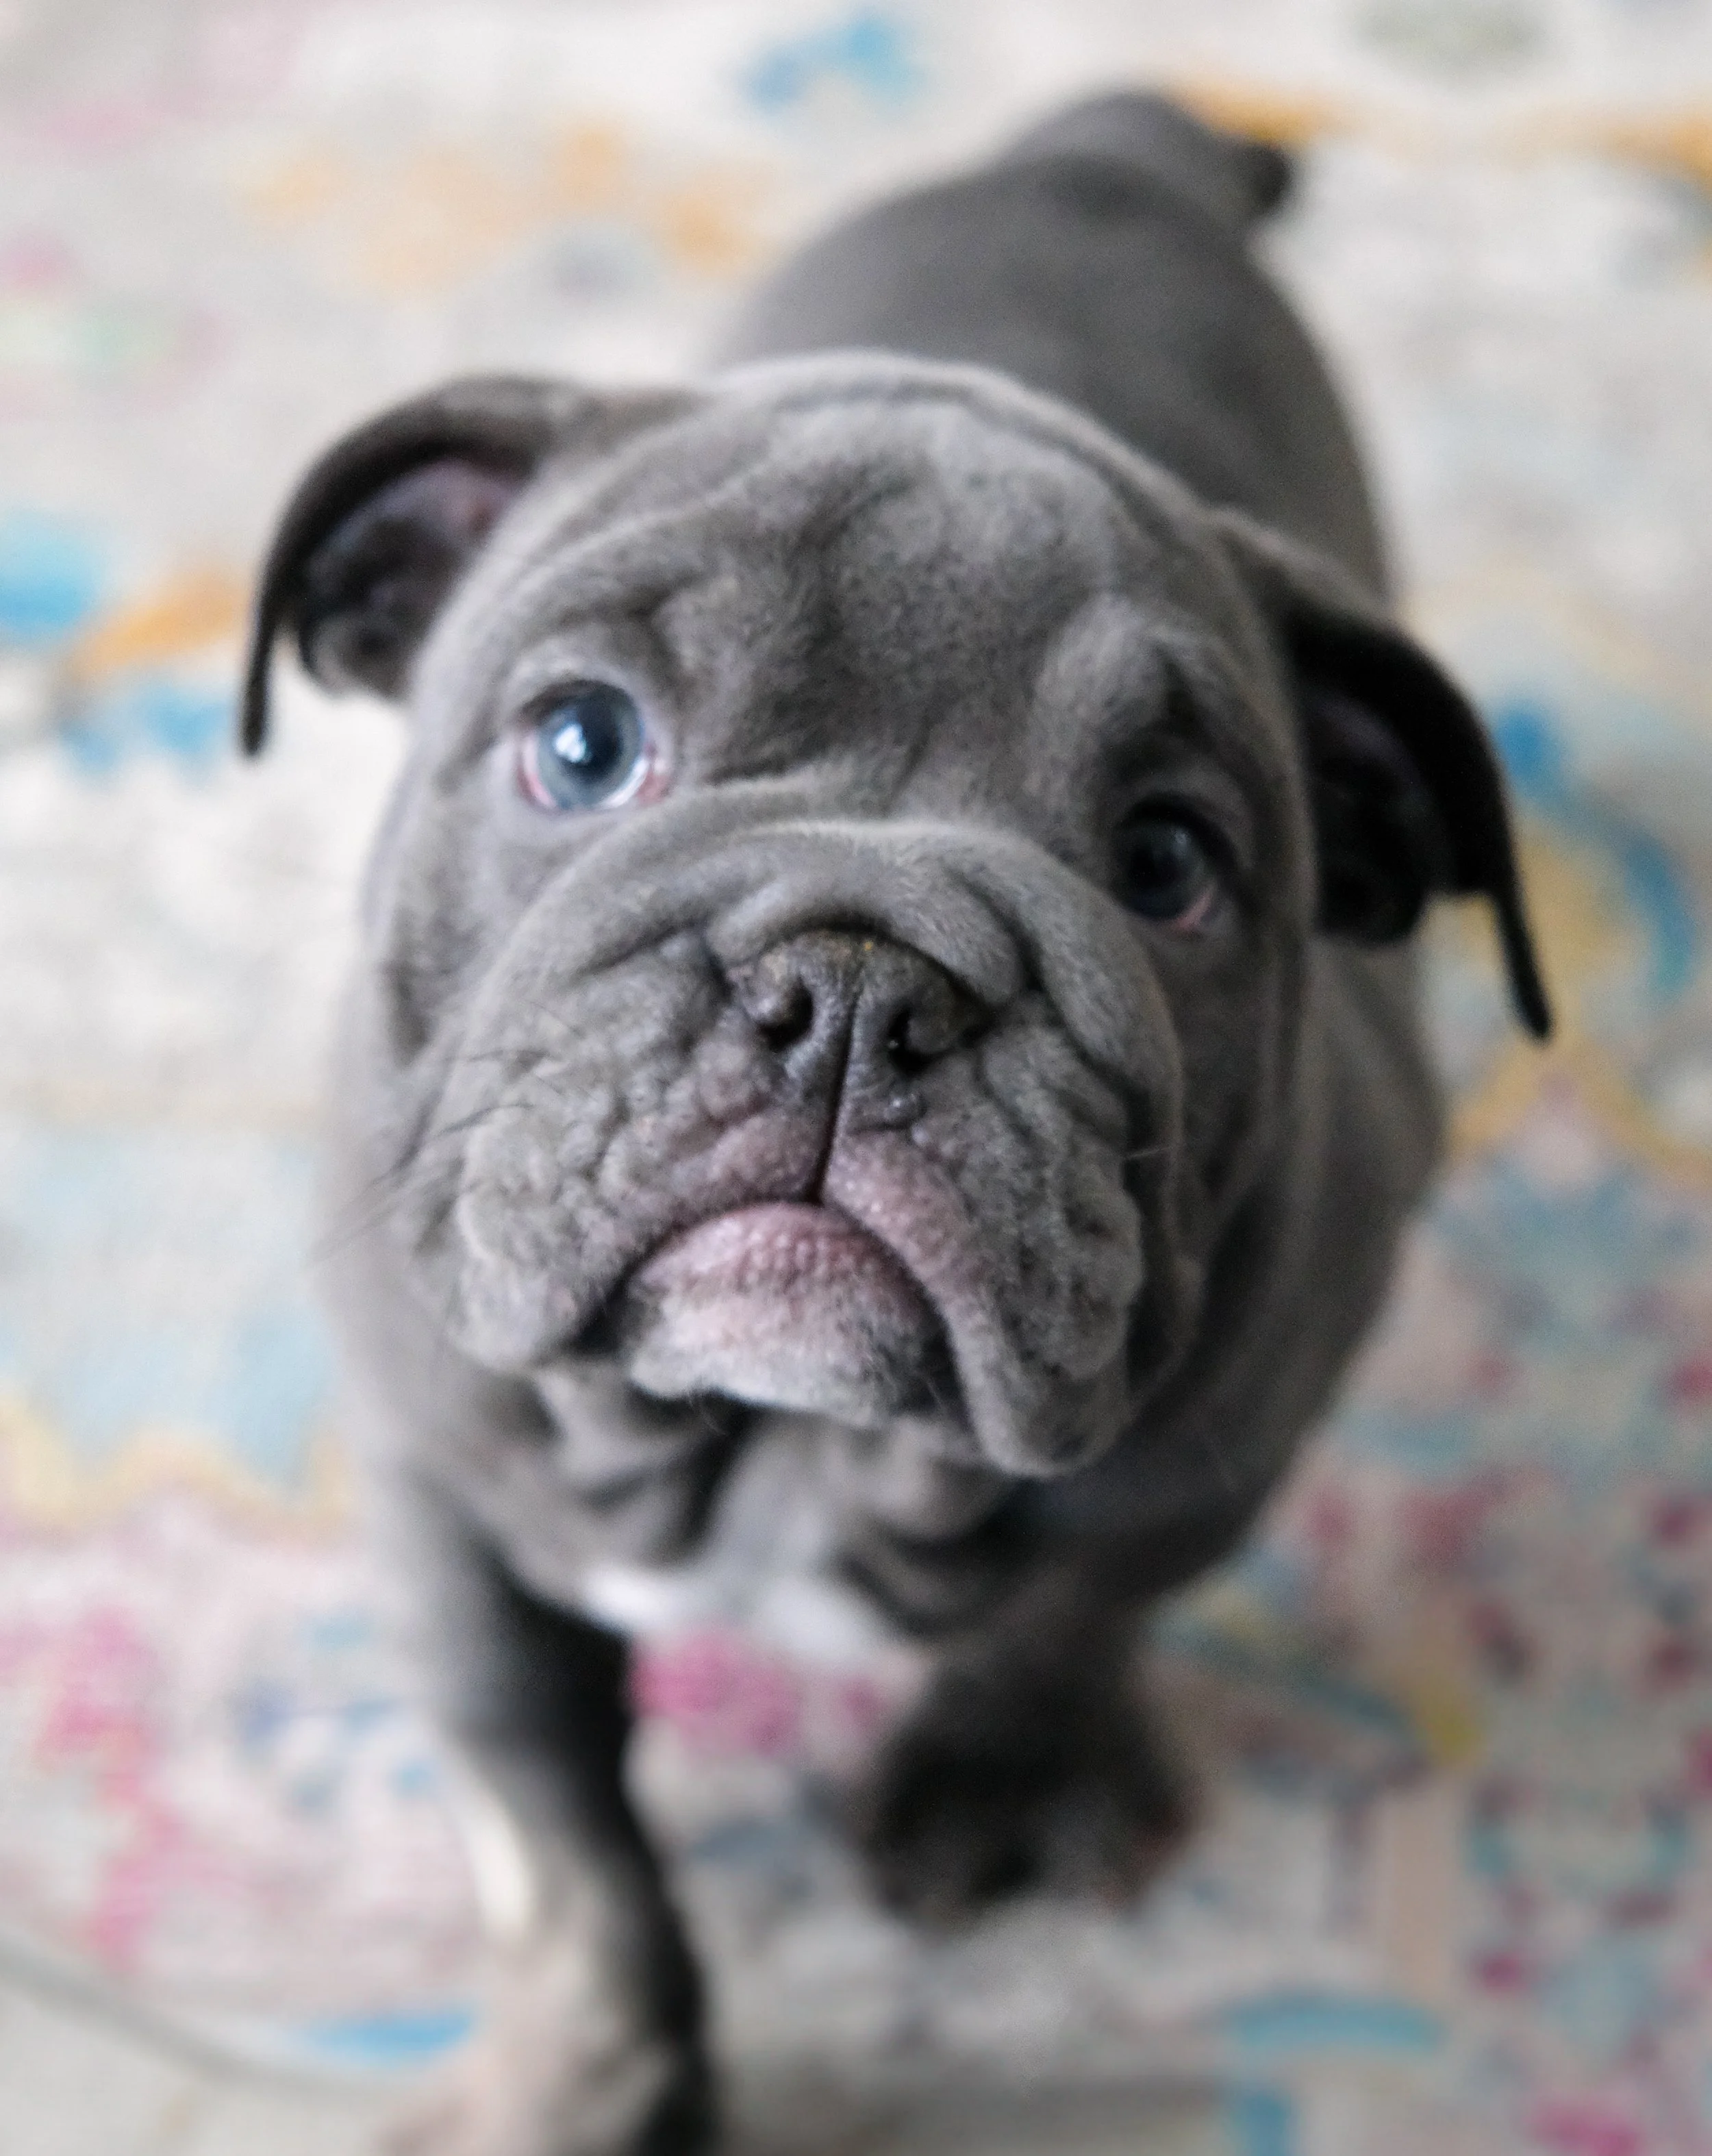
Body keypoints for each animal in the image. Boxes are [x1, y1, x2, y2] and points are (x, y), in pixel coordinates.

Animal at [240, 91, 1549, 2156]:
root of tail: (1109, 153)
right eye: (582, 745)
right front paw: (579, 2079)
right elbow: (557, 1838)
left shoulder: (1219, 1444)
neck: (781, 1448)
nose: (856, 986)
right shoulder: (441, 1487)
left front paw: (993, 1777)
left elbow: (1069, 1607)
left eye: (1168, 864)